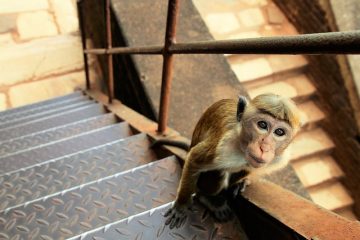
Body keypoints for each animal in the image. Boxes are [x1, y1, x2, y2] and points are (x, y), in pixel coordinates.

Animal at [163, 93, 300, 229]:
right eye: (262, 125)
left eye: (279, 132)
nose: (264, 147)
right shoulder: (222, 148)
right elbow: (194, 159)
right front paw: (181, 206)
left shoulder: (279, 158)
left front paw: (241, 182)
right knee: (218, 172)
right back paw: (208, 198)